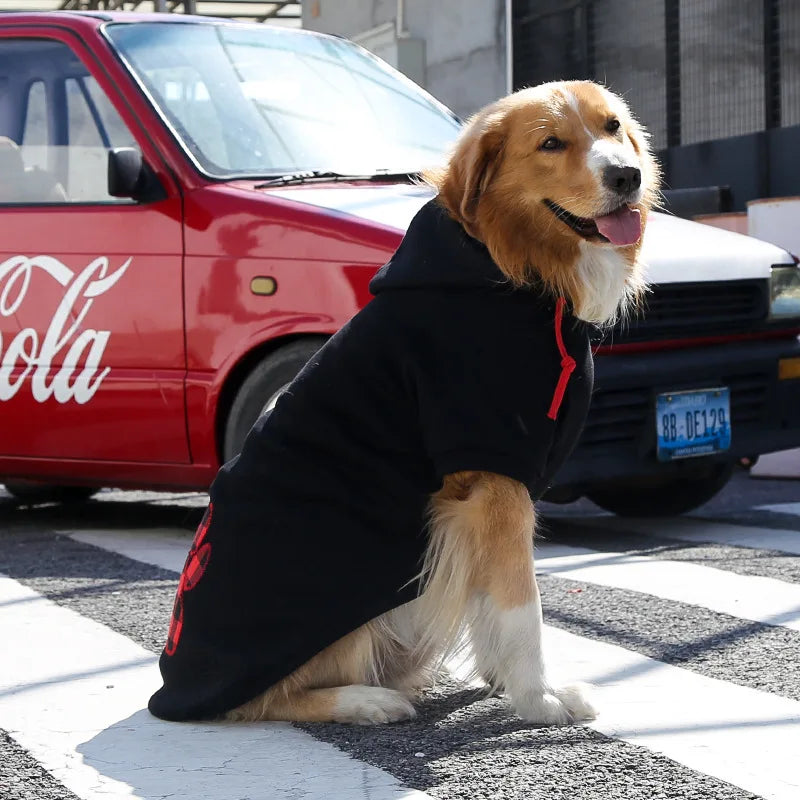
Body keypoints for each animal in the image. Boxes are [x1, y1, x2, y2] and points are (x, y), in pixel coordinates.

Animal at [150, 79, 656, 724]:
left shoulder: (487, 497)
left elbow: (488, 601)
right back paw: (366, 700)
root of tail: (172, 684)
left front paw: (503, 682)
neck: (513, 268)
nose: (626, 176)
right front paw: (538, 698)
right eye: (550, 143)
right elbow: (522, 608)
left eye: (613, 127)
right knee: (263, 702)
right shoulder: (491, 478)